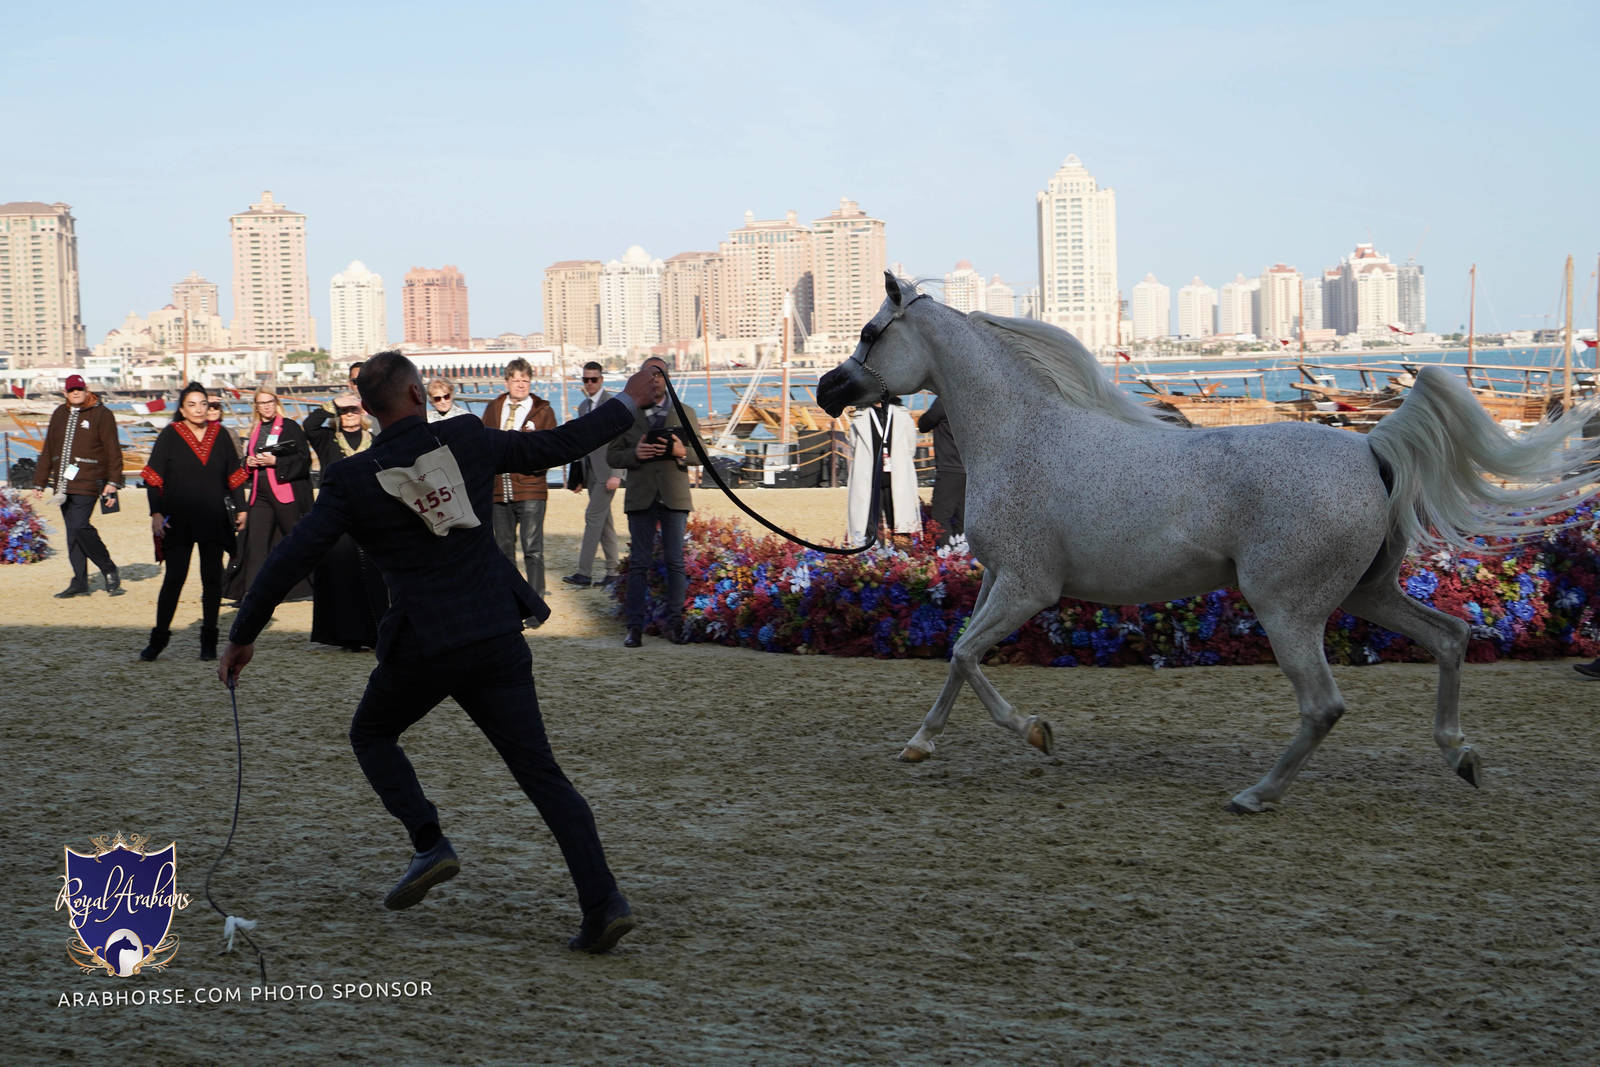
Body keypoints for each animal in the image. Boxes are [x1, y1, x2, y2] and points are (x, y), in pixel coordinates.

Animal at [818, 272, 1600, 812]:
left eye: (870, 332)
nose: (826, 390)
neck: (1025, 435)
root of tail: (1369, 449)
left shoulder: (1028, 587)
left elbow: (964, 653)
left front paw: (1035, 731)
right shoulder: (997, 579)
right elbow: (959, 655)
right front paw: (920, 744)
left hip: (1288, 608)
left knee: (1325, 703)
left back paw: (1256, 794)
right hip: (1366, 592)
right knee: (1450, 636)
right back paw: (1460, 755)